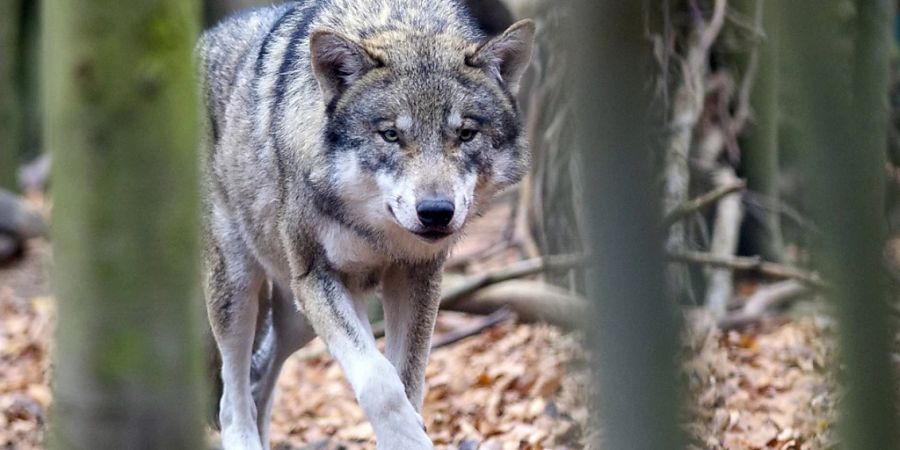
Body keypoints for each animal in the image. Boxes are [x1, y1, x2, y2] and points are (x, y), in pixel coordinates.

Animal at [198, 1, 536, 448]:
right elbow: (380, 382)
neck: (375, 230)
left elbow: (405, 380)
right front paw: (408, 437)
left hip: (296, 318)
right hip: (240, 288)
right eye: (390, 135)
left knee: (261, 380)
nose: (436, 211)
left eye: (465, 134)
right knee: (232, 397)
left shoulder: (417, 275)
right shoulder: (318, 277)